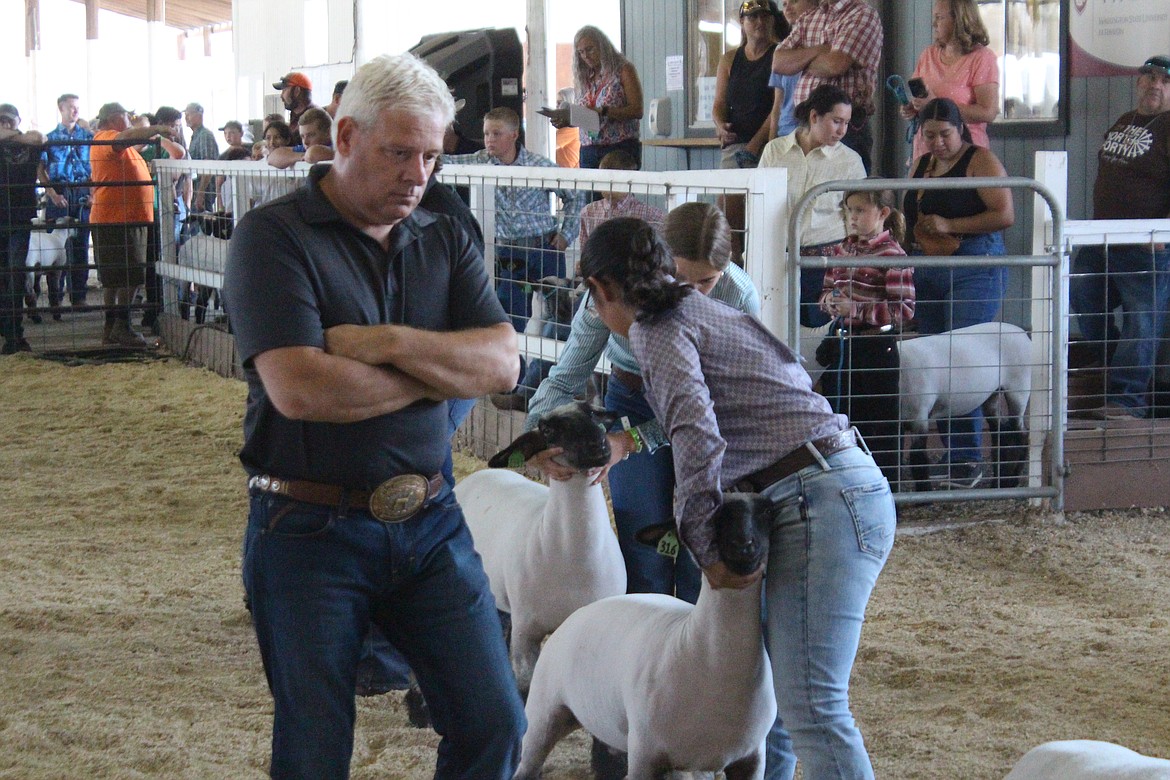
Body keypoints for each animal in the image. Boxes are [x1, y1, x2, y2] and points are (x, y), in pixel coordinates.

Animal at [514, 493, 776, 780]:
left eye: (766, 511)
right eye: (713, 516)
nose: (744, 547)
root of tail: (577, 613)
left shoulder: (751, 759)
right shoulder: (645, 755)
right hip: (543, 713)